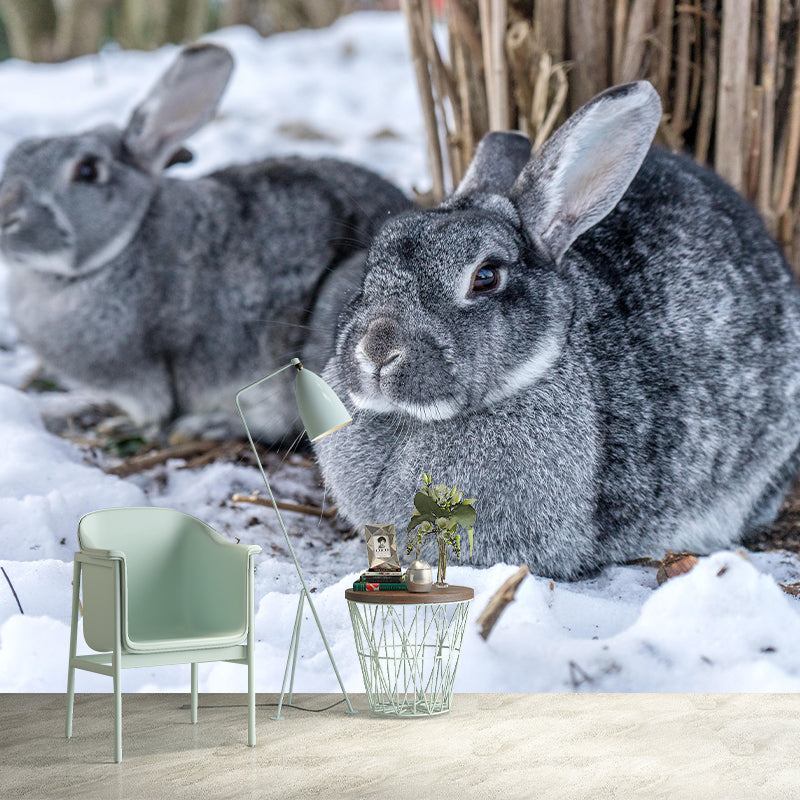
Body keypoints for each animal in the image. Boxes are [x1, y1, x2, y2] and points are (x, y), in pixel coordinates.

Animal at [0, 42, 413, 443]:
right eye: (14, 156)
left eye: (87, 170)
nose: (5, 215)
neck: (122, 245)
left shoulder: (144, 376)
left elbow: (152, 410)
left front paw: (127, 427)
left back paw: (209, 427)